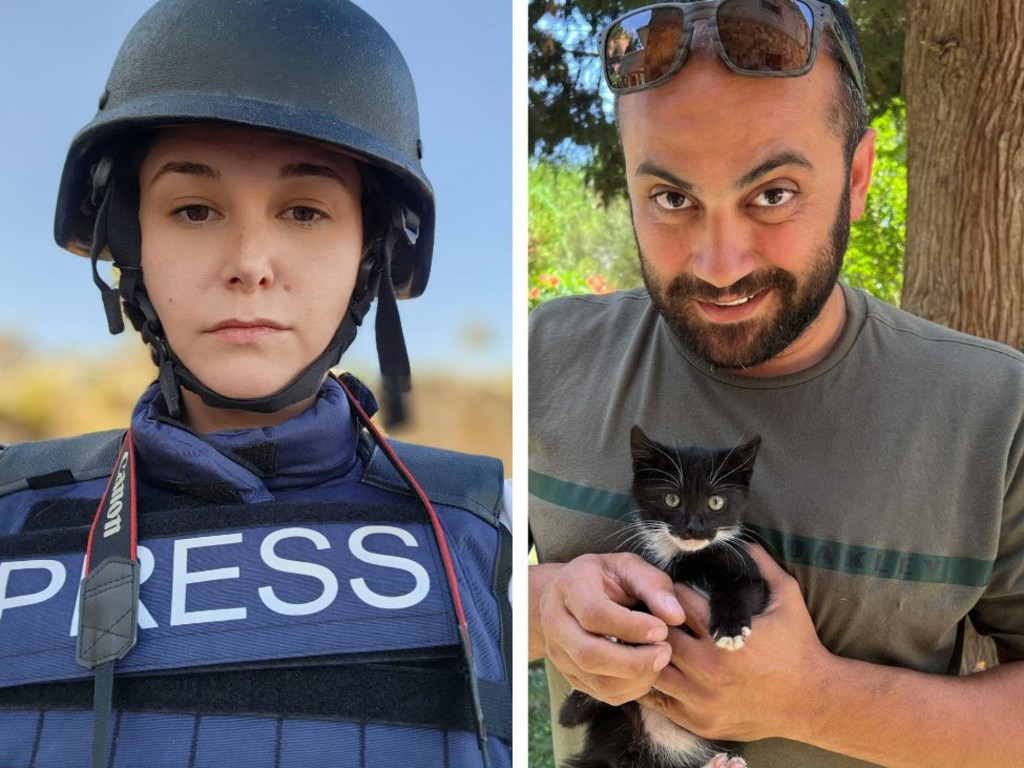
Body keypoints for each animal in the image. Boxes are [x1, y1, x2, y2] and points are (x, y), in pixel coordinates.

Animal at [561, 428, 770, 768]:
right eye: (672, 499)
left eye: (716, 502)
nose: (694, 528)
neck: (685, 559)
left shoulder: (751, 572)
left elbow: (740, 589)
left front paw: (730, 629)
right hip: (614, 715)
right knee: (569, 716)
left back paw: (723, 763)